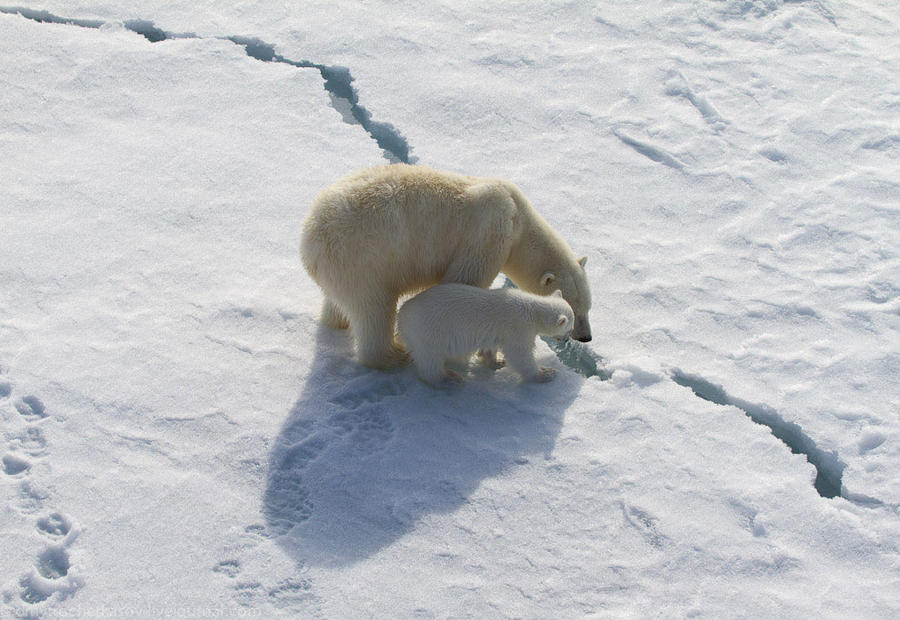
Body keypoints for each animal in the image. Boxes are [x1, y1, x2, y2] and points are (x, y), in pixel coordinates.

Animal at [300, 162, 592, 370]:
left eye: (588, 307)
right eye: (575, 308)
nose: (585, 337)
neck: (519, 219)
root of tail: (310, 242)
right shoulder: (489, 232)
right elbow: (465, 278)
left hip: (341, 269)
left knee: (341, 304)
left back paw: (338, 323)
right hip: (363, 260)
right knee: (374, 310)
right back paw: (393, 356)